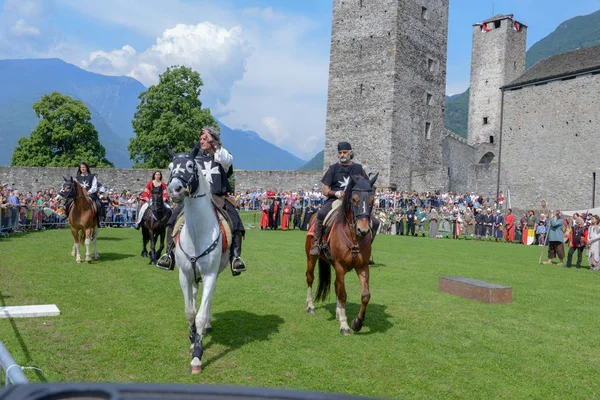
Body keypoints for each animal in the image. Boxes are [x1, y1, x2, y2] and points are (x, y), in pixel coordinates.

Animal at [168, 147, 231, 376]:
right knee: (195, 298)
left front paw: (197, 356)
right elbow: (189, 312)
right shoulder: (184, 275)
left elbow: (201, 315)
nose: (174, 190)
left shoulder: (210, 275)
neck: (197, 232)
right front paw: (192, 339)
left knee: (206, 302)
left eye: (190, 165)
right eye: (170, 167)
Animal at [308, 173, 378, 334]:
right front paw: (344, 325)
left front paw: (357, 323)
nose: (363, 230)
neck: (354, 238)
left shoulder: (363, 267)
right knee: (310, 278)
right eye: (354, 199)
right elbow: (343, 295)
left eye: (372, 200)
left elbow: (365, 295)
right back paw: (310, 306)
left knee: (336, 285)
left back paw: (338, 313)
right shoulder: (340, 267)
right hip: (311, 257)